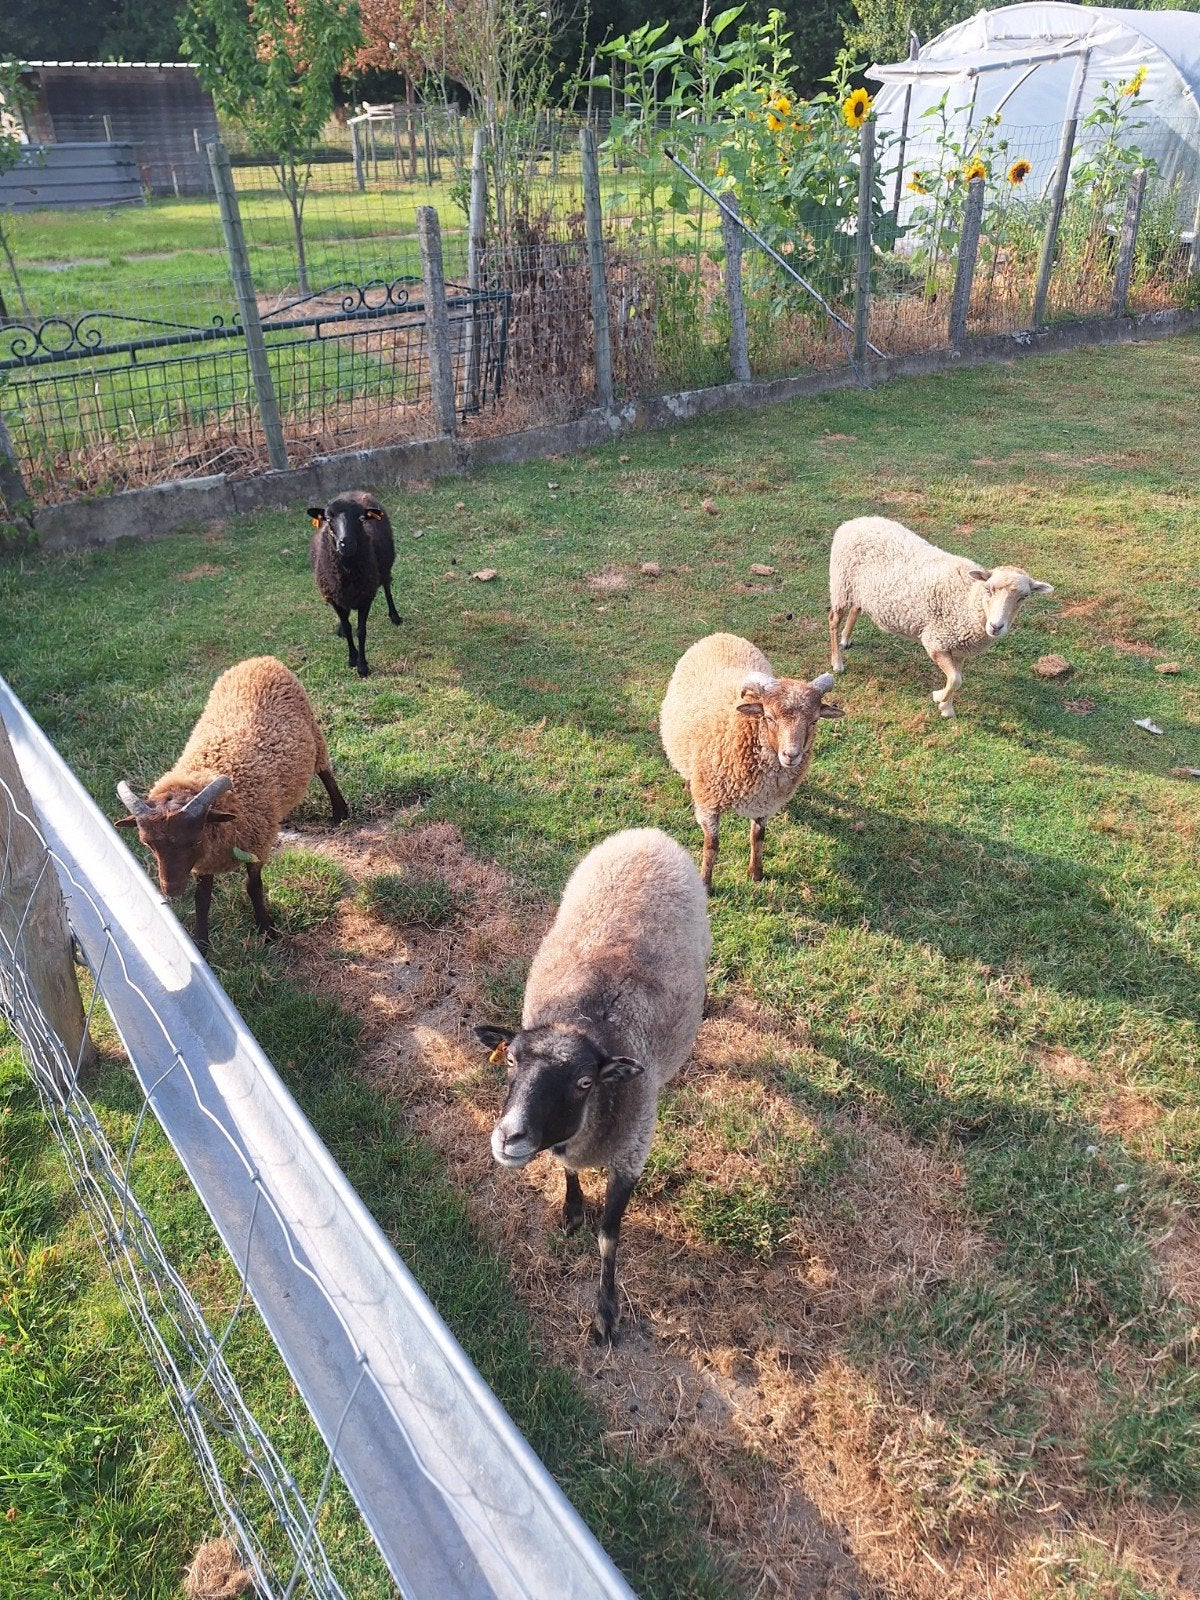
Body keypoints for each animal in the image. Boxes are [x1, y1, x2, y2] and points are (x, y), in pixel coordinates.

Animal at [115, 656, 348, 956]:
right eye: (147, 844)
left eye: (193, 840)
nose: (171, 891)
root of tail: (262, 659)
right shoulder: (205, 863)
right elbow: (202, 899)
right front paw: (201, 943)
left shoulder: (257, 844)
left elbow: (253, 887)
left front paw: (267, 930)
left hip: (315, 732)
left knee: (325, 772)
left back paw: (340, 812)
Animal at [308, 491, 401, 678]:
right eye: (328, 518)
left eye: (361, 518)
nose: (346, 543)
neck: (347, 572)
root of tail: (353, 492)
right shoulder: (334, 597)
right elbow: (348, 626)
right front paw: (352, 658)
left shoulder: (366, 597)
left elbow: (360, 631)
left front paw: (362, 666)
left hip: (385, 565)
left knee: (387, 587)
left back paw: (395, 616)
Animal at [474, 827, 710, 1342]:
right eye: (510, 1060)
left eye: (584, 1082)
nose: (509, 1137)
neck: (583, 1024)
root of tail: (647, 834)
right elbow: (568, 1170)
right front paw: (571, 1210)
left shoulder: (632, 1155)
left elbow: (608, 1235)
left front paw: (606, 1310)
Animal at [659, 632, 844, 894]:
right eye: (769, 717)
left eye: (815, 721)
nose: (791, 755)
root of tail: (721, 634)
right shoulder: (709, 803)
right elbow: (712, 845)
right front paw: (706, 884)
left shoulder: (764, 803)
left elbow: (758, 836)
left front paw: (756, 873)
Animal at [829, 515, 1054, 718]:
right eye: (988, 589)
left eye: (1024, 597)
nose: (996, 626)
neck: (968, 600)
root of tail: (853, 522)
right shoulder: (935, 642)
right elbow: (955, 679)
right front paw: (939, 698)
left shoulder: (960, 649)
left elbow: (957, 678)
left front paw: (947, 708)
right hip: (840, 584)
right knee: (833, 620)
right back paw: (837, 662)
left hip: (858, 590)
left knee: (856, 608)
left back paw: (846, 638)